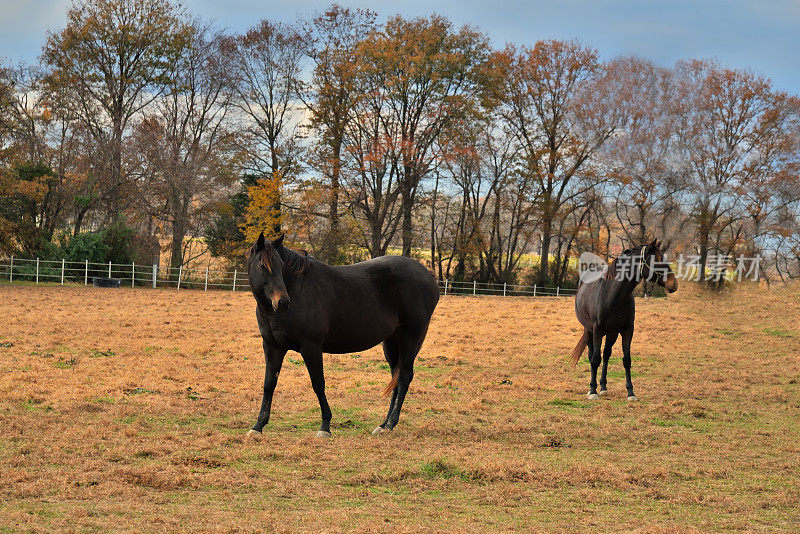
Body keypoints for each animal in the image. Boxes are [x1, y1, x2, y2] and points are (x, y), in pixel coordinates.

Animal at [248, 234, 440, 440]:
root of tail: (428, 275)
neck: (298, 289)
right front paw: (258, 425)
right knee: (396, 378)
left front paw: (325, 426)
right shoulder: (272, 346)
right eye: (262, 265)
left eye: (280, 265)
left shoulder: (311, 347)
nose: (282, 302)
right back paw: (383, 425)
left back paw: (389, 424)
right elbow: (269, 384)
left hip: (410, 338)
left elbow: (318, 384)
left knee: (404, 377)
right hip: (391, 342)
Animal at [572, 242, 680, 402]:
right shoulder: (597, 331)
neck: (614, 294)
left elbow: (626, 360)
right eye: (657, 260)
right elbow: (595, 359)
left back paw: (603, 387)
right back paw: (593, 387)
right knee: (592, 355)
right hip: (589, 331)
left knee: (606, 354)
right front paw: (592, 391)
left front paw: (630, 392)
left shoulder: (627, 330)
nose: (674, 283)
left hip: (612, 333)